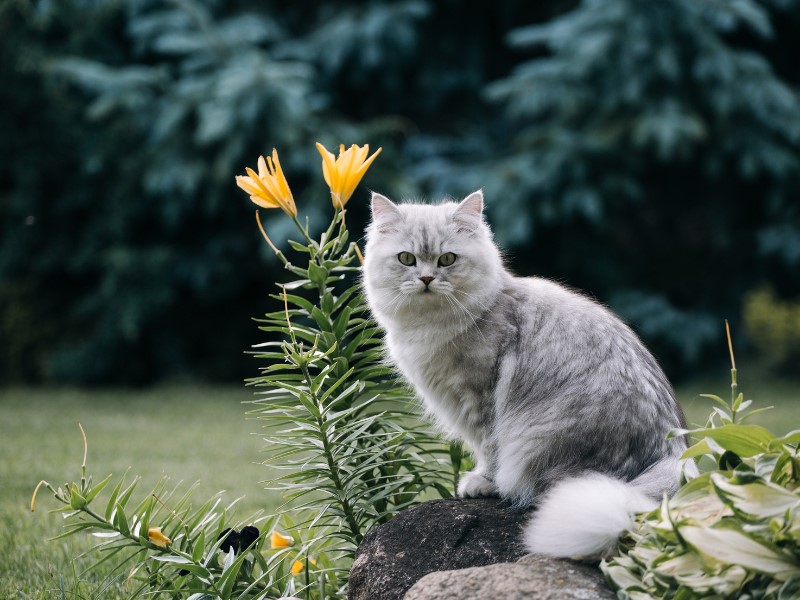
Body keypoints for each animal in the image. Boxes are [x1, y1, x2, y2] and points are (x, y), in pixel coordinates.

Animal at [362, 191, 692, 556]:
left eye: (447, 259)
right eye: (406, 259)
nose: (426, 279)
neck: (432, 325)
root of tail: (671, 453)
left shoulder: (480, 398)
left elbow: (488, 449)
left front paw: (482, 482)